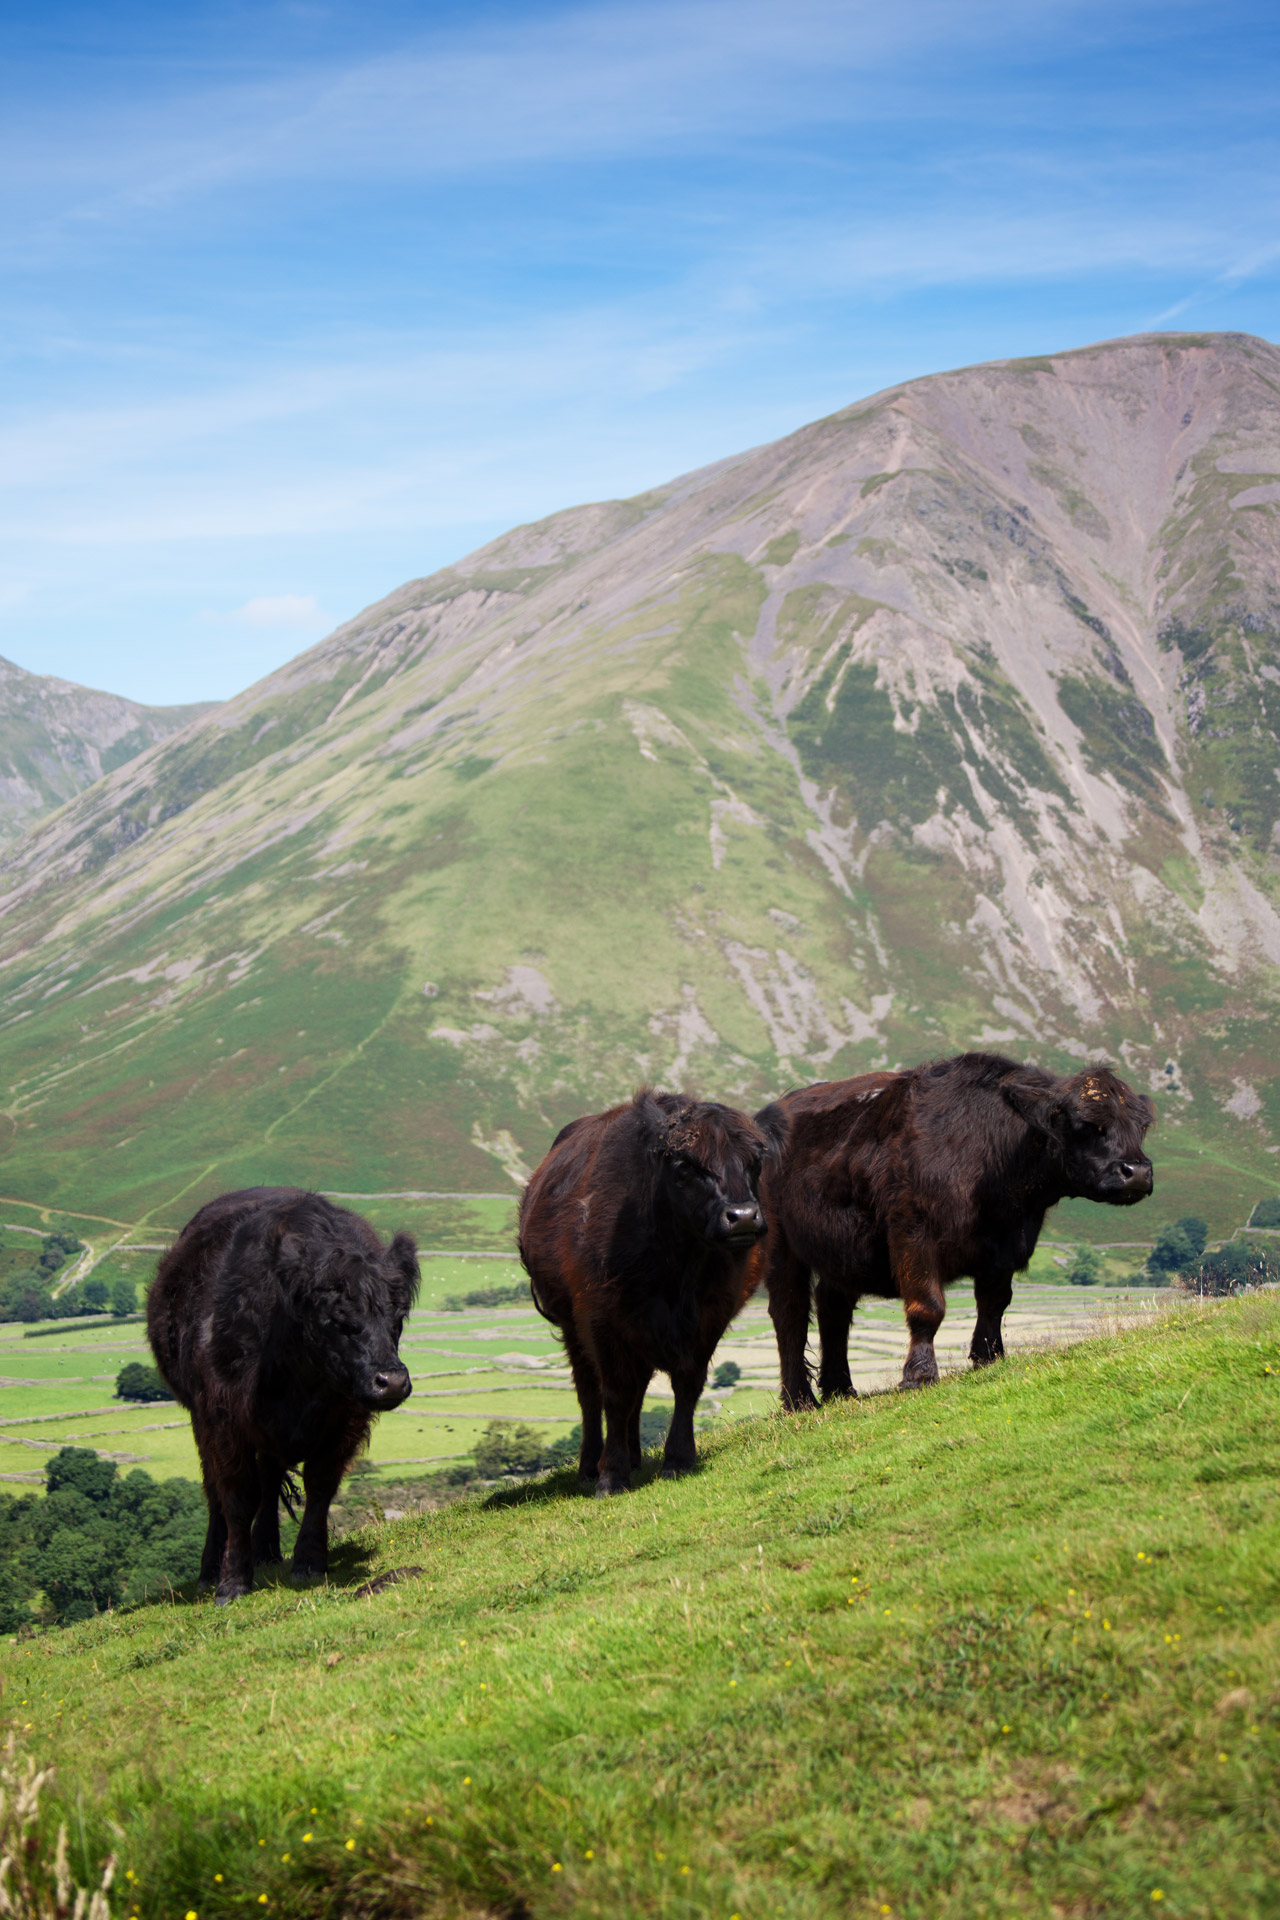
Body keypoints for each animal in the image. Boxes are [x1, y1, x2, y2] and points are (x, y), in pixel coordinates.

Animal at [148, 1182, 420, 1605]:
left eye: (398, 1317)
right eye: (336, 1320)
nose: (390, 1381)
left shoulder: (345, 1420)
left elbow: (319, 1486)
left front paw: (309, 1562)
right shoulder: (224, 1421)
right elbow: (237, 1497)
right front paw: (232, 1583)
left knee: (270, 1478)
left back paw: (267, 1552)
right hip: (201, 1420)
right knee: (216, 1492)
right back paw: (210, 1570)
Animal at [518, 1090, 782, 1489]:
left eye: (755, 1161)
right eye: (685, 1166)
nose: (743, 1217)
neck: (677, 1267)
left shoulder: (712, 1315)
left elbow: (687, 1384)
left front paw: (678, 1460)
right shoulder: (600, 1319)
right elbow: (615, 1394)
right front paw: (611, 1476)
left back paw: (635, 1456)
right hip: (572, 1327)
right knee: (589, 1392)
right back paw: (590, 1465)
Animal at [756, 1059, 1159, 1405]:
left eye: (1142, 1126)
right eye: (1087, 1124)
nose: (1137, 1172)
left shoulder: (1005, 1248)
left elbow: (994, 1303)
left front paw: (989, 1358)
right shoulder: (914, 1237)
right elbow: (927, 1308)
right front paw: (919, 1375)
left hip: (840, 1251)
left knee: (832, 1309)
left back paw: (840, 1389)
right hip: (780, 1249)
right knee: (790, 1315)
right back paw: (800, 1400)